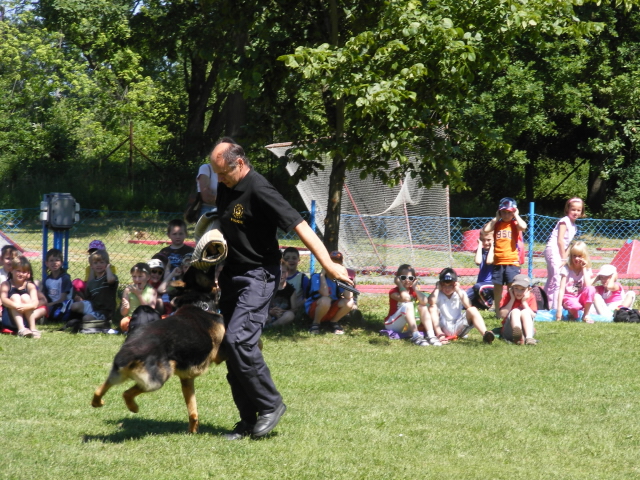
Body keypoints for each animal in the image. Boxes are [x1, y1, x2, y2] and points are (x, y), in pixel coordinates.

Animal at [91, 266, 226, 436]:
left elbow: (192, 410)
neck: (199, 304)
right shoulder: (218, 355)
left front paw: (192, 430)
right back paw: (133, 407)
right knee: (126, 392)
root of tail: (130, 351)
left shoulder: (187, 379)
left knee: (100, 388)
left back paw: (97, 402)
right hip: (158, 379)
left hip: (119, 375)